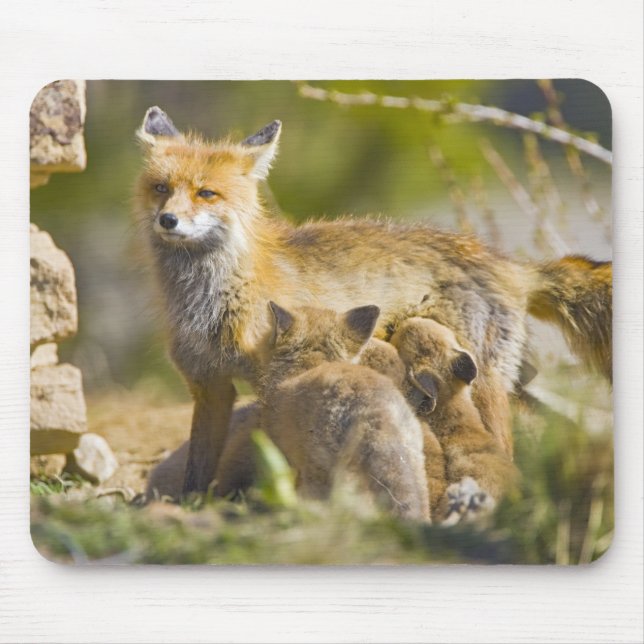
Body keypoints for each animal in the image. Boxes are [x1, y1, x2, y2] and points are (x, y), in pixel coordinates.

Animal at [134, 106, 612, 493]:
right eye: (160, 188)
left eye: (206, 193)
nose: (167, 220)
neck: (211, 302)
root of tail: (510, 263)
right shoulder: (208, 386)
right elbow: (197, 472)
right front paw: (191, 507)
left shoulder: (274, 379)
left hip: (483, 383)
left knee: (504, 446)